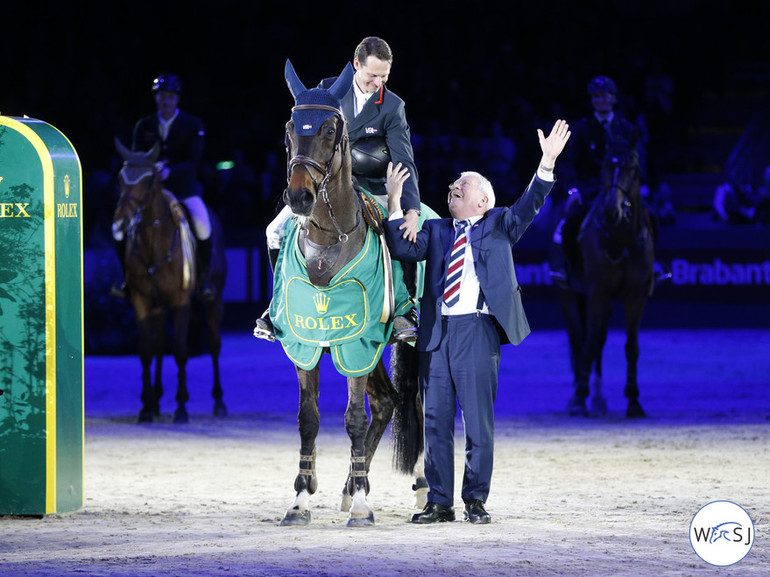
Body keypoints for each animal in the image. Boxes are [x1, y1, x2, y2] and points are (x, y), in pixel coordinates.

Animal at [114, 140, 226, 424]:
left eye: (148, 180)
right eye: (120, 178)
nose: (121, 223)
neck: (153, 243)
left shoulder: (180, 301)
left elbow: (180, 350)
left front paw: (181, 408)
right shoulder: (142, 301)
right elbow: (146, 351)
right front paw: (145, 407)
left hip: (214, 298)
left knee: (213, 343)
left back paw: (219, 402)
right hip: (158, 306)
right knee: (158, 346)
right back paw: (154, 400)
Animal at [270, 59, 424, 528]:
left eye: (329, 130)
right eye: (290, 129)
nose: (299, 197)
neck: (328, 239)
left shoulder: (356, 342)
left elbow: (354, 418)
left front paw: (361, 506)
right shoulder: (306, 342)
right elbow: (308, 419)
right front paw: (301, 499)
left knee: (417, 403)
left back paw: (419, 489)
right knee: (388, 401)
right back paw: (352, 484)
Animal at [560, 151, 656, 416]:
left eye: (633, 170)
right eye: (604, 167)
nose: (612, 211)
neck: (620, 241)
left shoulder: (635, 296)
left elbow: (631, 347)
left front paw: (633, 401)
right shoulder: (597, 294)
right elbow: (589, 343)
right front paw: (579, 398)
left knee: (599, 340)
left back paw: (598, 397)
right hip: (570, 296)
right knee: (580, 339)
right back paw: (579, 393)